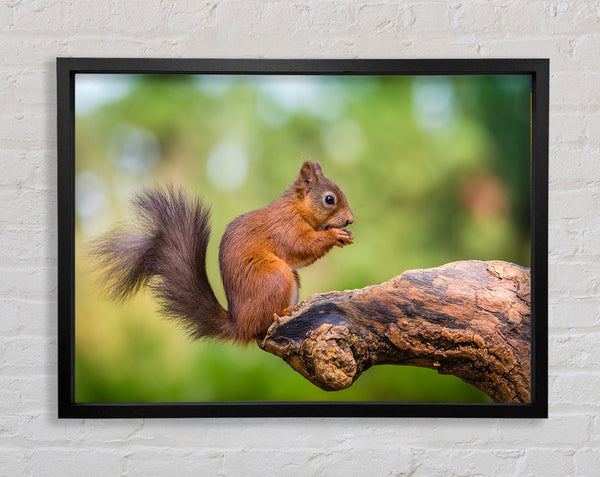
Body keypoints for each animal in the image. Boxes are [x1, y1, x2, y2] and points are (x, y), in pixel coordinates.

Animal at [91, 160, 354, 342]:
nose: (350, 220)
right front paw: (335, 236)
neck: (296, 208)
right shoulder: (285, 228)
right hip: (275, 276)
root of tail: (239, 325)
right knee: (262, 326)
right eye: (329, 199)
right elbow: (301, 247)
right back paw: (282, 313)